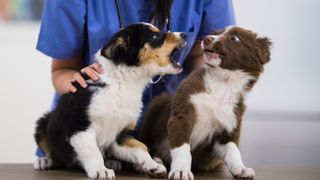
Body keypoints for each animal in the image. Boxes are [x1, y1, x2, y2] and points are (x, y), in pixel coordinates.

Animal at [33, 22, 186, 179]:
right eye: (155, 36)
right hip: (43, 124)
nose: (184, 35)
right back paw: (44, 161)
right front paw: (101, 171)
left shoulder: (121, 134)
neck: (122, 82)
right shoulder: (80, 127)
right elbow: (93, 152)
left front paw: (153, 165)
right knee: (54, 153)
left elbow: (140, 146)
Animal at [139, 26, 272, 180]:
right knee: (146, 142)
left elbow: (233, 150)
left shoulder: (229, 124)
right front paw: (181, 170)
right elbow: (182, 148)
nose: (206, 39)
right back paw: (156, 161)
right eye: (216, 34)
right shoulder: (182, 114)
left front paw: (241, 168)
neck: (222, 85)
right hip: (156, 105)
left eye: (234, 38)